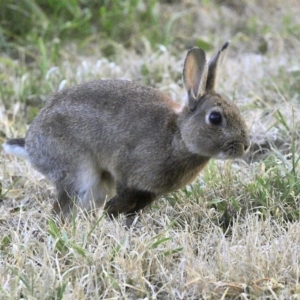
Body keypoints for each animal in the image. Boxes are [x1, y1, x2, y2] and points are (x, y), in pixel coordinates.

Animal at [2, 41, 251, 218]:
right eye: (215, 118)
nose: (245, 146)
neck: (178, 136)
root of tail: (31, 144)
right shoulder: (125, 171)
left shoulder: (147, 192)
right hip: (76, 171)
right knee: (62, 206)